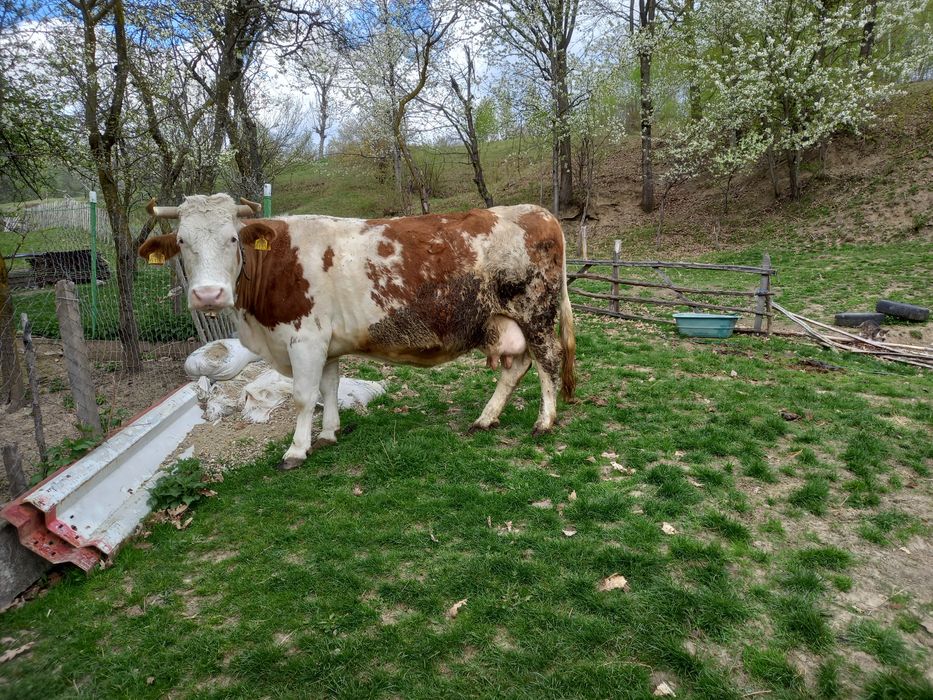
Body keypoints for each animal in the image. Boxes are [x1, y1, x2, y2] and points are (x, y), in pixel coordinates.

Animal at [139, 194, 576, 471]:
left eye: (232, 239)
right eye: (182, 241)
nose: (207, 294)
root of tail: (538, 211)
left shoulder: (305, 340)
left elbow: (303, 397)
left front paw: (297, 450)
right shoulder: (327, 346)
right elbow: (329, 388)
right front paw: (330, 433)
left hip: (536, 314)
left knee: (547, 362)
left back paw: (544, 422)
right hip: (508, 321)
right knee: (516, 367)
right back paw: (486, 418)